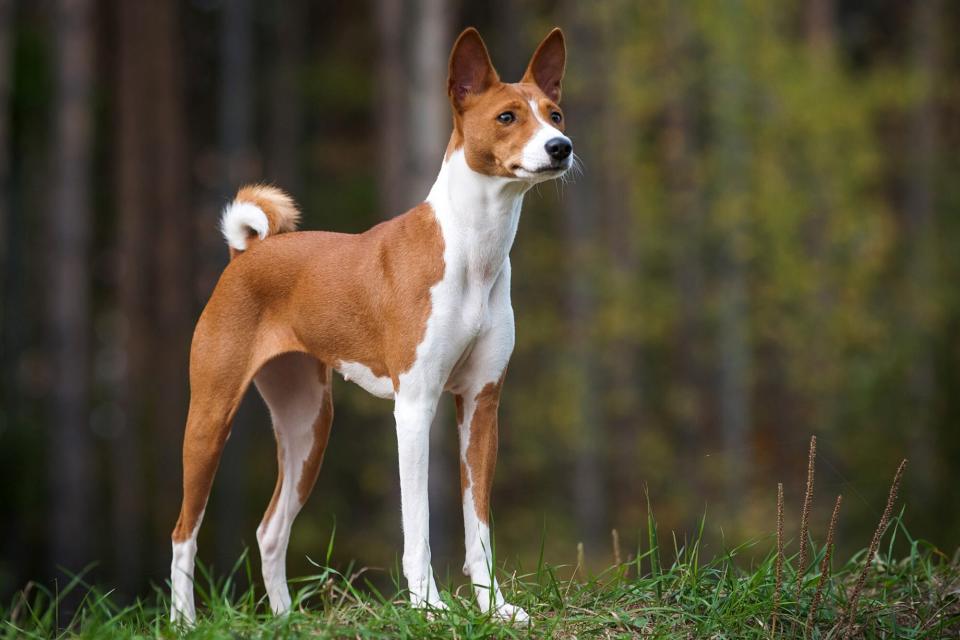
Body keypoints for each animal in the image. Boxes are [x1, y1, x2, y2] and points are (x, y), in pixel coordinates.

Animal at [170, 27, 572, 624]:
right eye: (507, 117)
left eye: (555, 114)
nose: (560, 147)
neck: (474, 252)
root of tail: (248, 252)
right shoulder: (415, 407)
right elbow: (418, 526)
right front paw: (429, 607)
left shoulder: (482, 404)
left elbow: (479, 526)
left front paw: (494, 607)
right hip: (210, 418)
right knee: (183, 532)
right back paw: (183, 621)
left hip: (308, 427)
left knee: (270, 530)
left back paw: (286, 621)